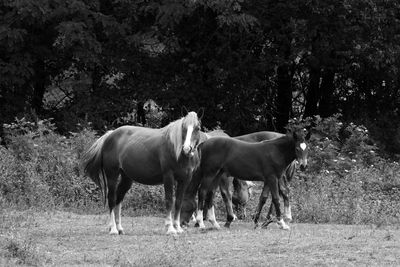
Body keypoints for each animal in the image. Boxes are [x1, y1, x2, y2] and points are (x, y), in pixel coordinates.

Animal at [181, 131, 310, 231]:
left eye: (307, 148)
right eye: (297, 148)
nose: (303, 166)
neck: (275, 151)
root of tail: (203, 144)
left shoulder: (273, 178)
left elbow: (270, 196)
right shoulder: (272, 178)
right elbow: (276, 198)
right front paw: (282, 223)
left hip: (217, 175)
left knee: (210, 194)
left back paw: (215, 223)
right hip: (210, 173)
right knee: (202, 191)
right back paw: (201, 223)